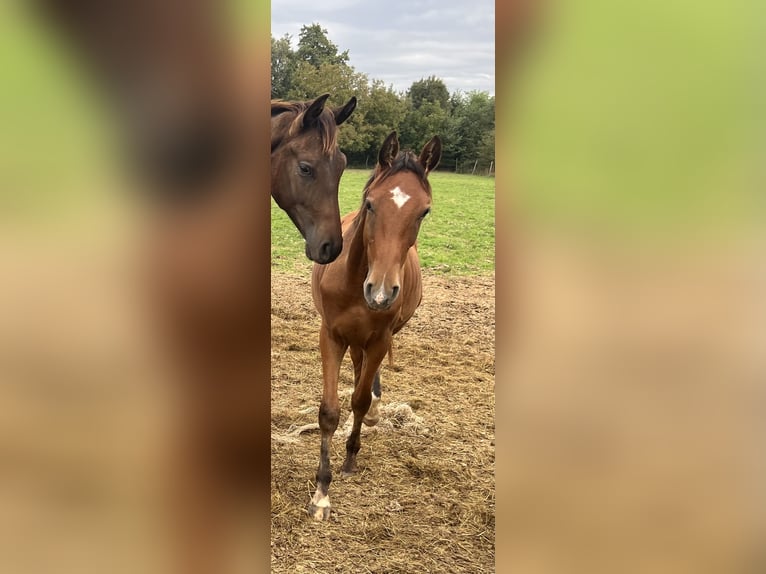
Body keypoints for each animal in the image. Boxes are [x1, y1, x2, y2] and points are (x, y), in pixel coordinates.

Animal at [308, 130, 440, 520]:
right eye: (370, 204)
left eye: (424, 211)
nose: (381, 292)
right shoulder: (331, 336)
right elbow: (329, 412)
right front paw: (321, 493)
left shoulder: (379, 339)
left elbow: (361, 399)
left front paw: (351, 456)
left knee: (366, 381)